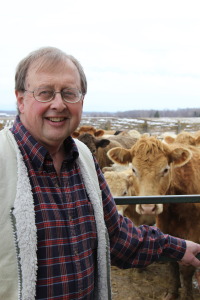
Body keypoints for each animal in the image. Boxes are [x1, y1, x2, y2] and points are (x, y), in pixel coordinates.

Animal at [108, 137, 200, 300]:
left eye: (165, 169)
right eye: (134, 169)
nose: (147, 208)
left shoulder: (194, 232)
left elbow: (187, 269)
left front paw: (187, 296)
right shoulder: (165, 227)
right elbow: (172, 263)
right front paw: (172, 293)